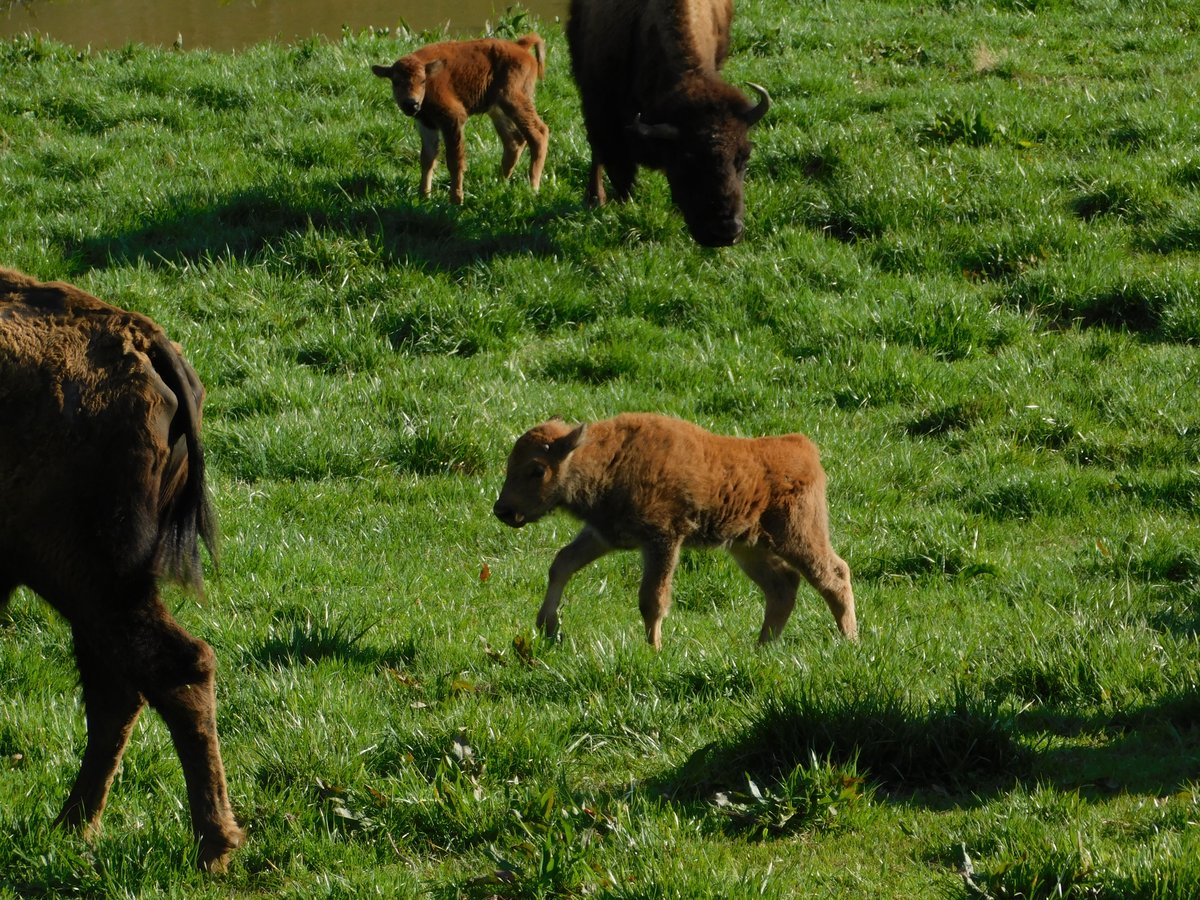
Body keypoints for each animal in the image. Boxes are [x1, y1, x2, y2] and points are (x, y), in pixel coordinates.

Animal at [0, 268, 243, 872]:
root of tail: (139, 337)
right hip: (94, 590)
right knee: (120, 690)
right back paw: (71, 827)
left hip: (86, 578)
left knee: (175, 668)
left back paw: (212, 847)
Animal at [372, 34, 549, 204]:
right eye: (396, 82)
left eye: (422, 81)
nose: (412, 104)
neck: (431, 79)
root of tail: (520, 47)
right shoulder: (427, 124)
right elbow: (427, 158)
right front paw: (424, 197)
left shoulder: (453, 119)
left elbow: (454, 160)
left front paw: (456, 200)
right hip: (498, 110)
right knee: (514, 141)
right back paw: (500, 184)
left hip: (514, 100)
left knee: (538, 133)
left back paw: (533, 188)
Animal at [493, 413, 855, 650]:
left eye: (537, 469)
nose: (503, 510)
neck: (610, 459)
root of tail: (803, 447)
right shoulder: (602, 536)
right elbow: (562, 564)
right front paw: (547, 625)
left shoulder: (662, 540)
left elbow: (652, 598)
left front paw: (653, 649)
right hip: (748, 548)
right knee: (783, 586)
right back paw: (762, 647)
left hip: (798, 537)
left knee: (833, 575)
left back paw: (849, 640)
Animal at [566, 0, 770, 246]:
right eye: (687, 161)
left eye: (744, 157)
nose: (726, 231)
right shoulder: (602, 109)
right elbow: (616, 166)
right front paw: (618, 204)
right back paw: (595, 198)